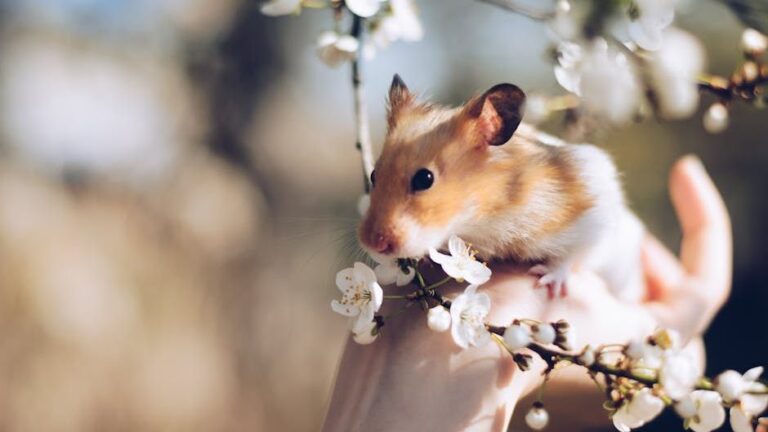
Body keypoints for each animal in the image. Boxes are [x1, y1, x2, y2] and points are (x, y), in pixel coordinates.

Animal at [358, 74, 644, 301]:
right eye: (373, 175)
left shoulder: (594, 214)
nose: (372, 244)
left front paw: (547, 281)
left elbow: (573, 255)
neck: (484, 216)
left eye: (424, 179)